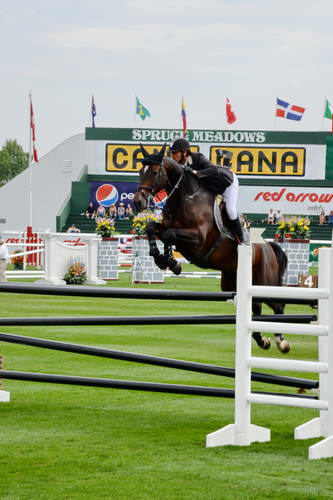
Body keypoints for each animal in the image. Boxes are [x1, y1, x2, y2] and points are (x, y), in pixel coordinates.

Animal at [132, 146, 288, 354]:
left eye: (156, 172)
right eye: (141, 172)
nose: (137, 203)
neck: (186, 197)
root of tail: (267, 246)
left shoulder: (198, 239)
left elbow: (169, 234)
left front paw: (169, 261)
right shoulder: (167, 226)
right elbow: (153, 228)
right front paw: (166, 260)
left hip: (264, 280)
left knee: (277, 306)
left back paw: (281, 341)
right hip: (232, 282)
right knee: (254, 307)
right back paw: (262, 339)